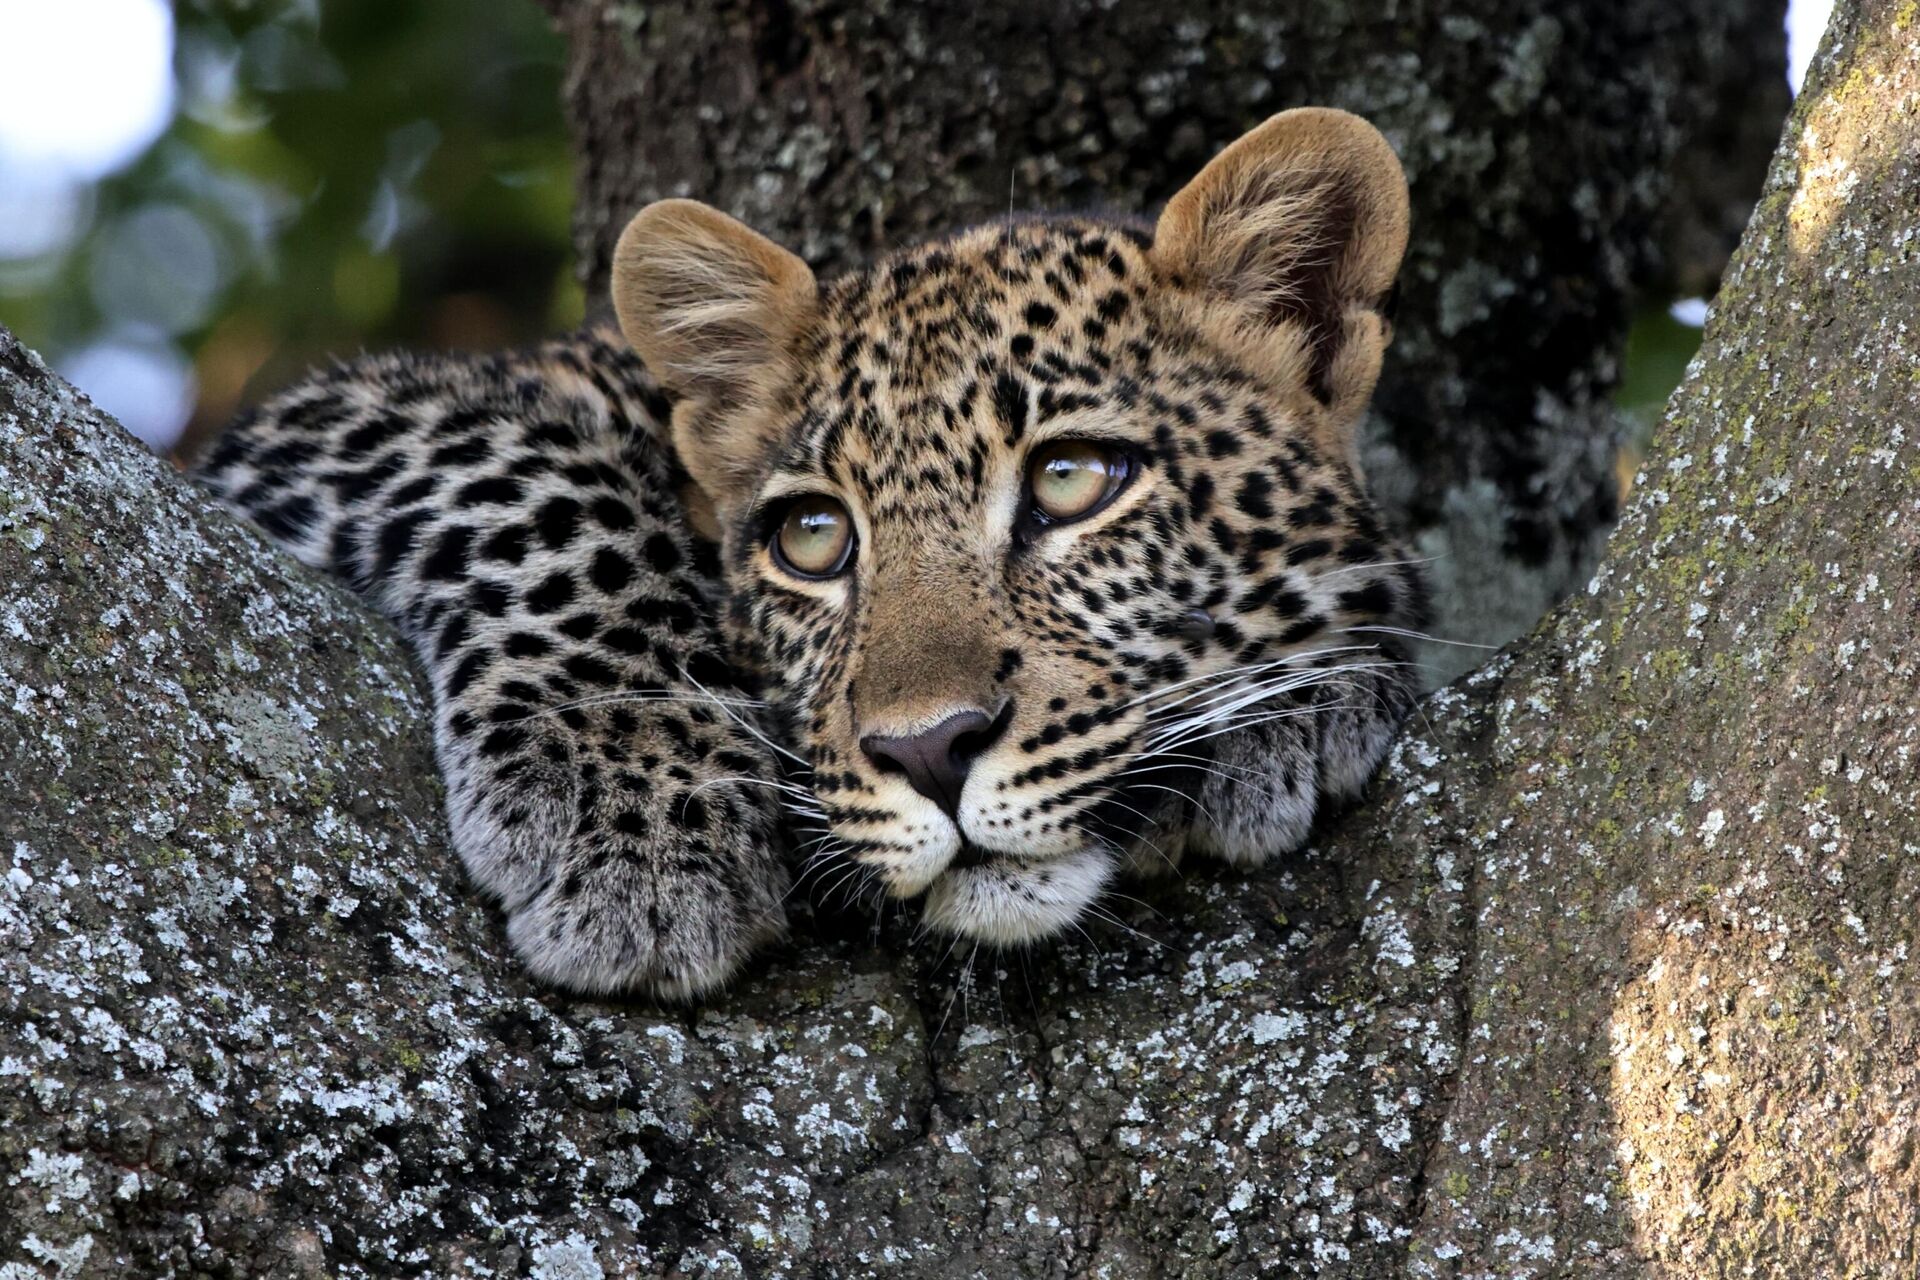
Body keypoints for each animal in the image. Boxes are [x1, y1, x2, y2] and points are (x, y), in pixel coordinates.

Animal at [194, 110, 1428, 1005]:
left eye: (1073, 478)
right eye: (814, 538)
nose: (930, 750)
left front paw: (1301, 694)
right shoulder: (329, 424)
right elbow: (536, 487)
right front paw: (636, 816)